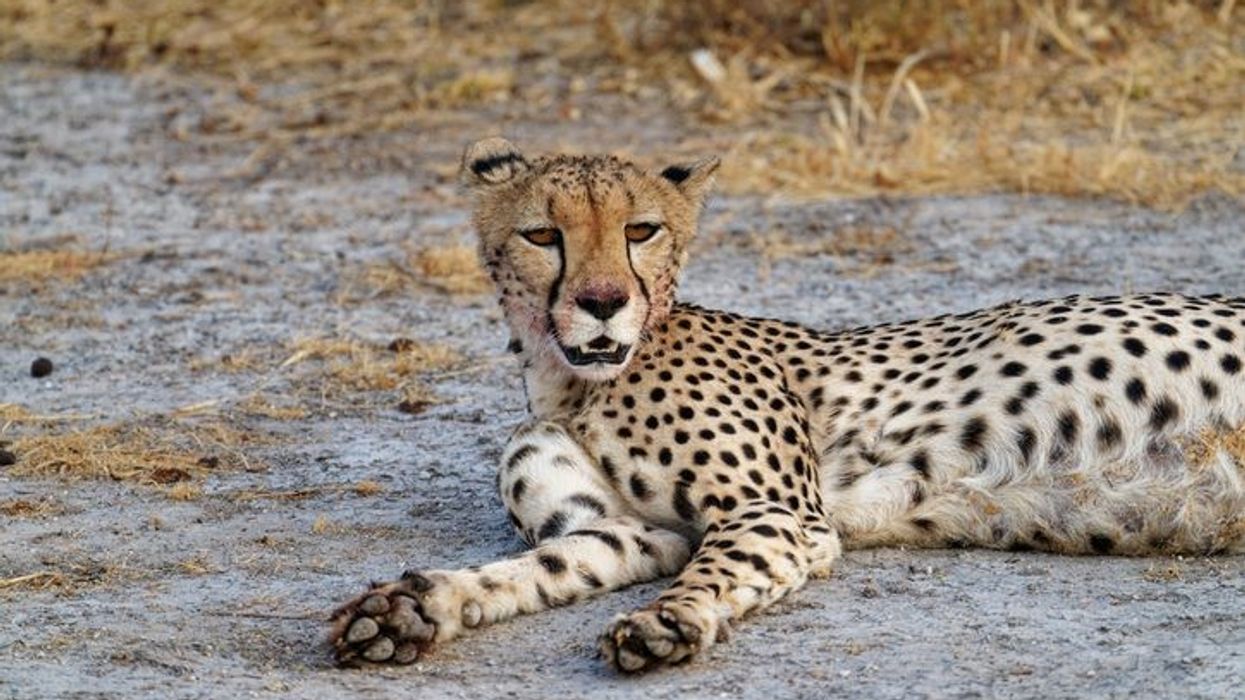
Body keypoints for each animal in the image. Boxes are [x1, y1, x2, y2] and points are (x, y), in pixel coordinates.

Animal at [328, 137, 1245, 672]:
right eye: (542, 235)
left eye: (640, 230)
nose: (600, 303)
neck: (574, 384)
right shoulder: (628, 533)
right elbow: (534, 569)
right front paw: (413, 608)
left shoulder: (778, 513)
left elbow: (716, 567)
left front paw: (671, 621)